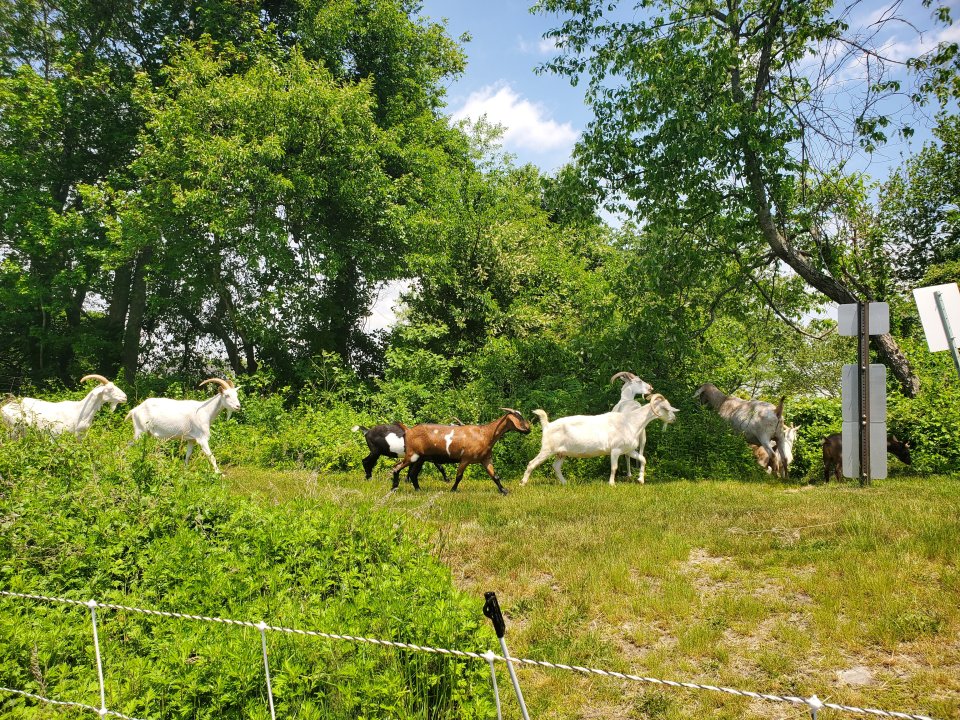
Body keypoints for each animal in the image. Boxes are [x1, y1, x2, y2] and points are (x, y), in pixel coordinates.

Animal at [520, 390, 680, 486]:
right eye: (666, 408)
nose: (674, 419)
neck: (630, 422)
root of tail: (547, 425)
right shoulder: (615, 450)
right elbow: (614, 467)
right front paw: (612, 484)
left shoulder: (628, 450)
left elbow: (643, 459)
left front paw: (640, 479)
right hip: (547, 449)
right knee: (531, 463)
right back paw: (523, 483)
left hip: (561, 453)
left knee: (556, 467)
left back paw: (565, 483)